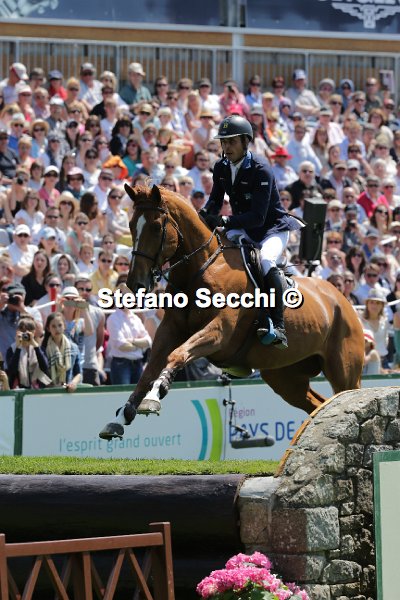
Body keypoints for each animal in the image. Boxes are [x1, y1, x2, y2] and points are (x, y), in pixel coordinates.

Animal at [99, 184, 364, 440]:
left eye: (155, 228)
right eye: (131, 226)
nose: (135, 283)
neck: (201, 269)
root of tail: (342, 300)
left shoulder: (219, 333)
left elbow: (177, 355)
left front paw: (154, 396)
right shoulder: (170, 330)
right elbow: (149, 370)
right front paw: (121, 417)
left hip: (344, 371)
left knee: (347, 396)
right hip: (285, 377)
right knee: (318, 405)